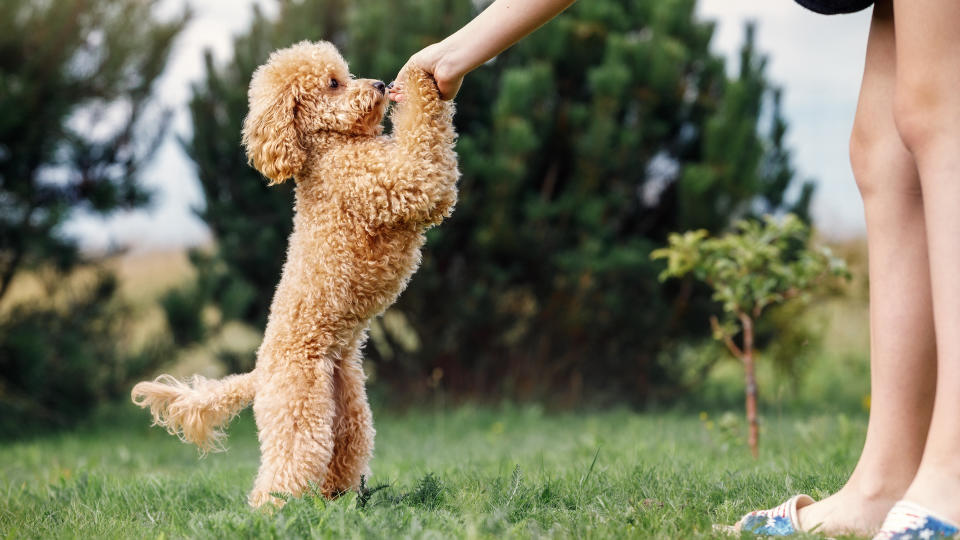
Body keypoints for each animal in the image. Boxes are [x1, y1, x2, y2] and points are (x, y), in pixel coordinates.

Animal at [131, 41, 458, 506]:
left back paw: (340, 502)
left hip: (347, 407)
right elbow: (425, 146)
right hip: (299, 403)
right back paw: (271, 511)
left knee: (341, 457)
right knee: (287, 466)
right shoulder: (403, 180)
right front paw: (420, 77)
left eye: (346, 74)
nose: (380, 84)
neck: (329, 148)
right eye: (333, 84)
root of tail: (258, 373)